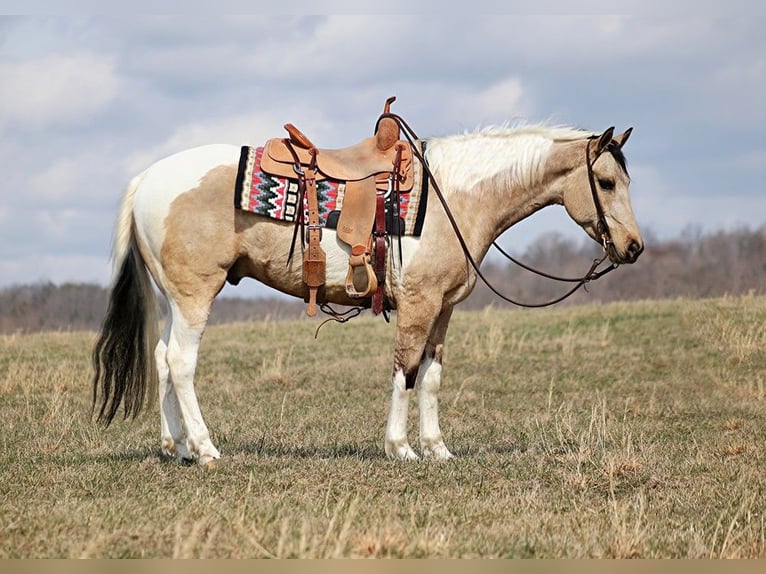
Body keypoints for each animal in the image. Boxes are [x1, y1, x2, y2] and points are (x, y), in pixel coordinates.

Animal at [93, 119, 644, 466]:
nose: (634, 247)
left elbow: (431, 377)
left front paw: (438, 449)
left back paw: (179, 447)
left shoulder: (443, 309)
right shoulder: (418, 303)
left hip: (173, 299)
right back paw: (206, 449)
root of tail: (148, 178)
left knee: (163, 359)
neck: (454, 195)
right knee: (182, 362)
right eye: (605, 181)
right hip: (194, 295)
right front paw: (400, 447)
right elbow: (405, 371)